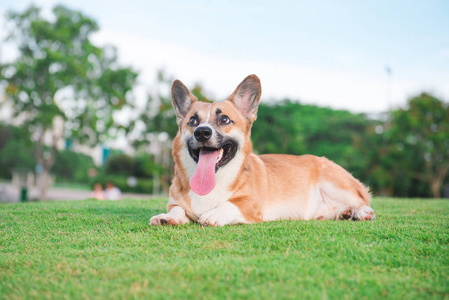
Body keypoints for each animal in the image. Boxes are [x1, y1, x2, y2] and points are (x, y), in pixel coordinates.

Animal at [149, 75, 372, 227]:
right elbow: (177, 209)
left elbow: (231, 204)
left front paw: (213, 214)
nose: (202, 132)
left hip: (334, 182)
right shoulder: (175, 203)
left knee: (362, 200)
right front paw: (167, 218)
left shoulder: (253, 205)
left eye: (224, 119)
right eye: (193, 121)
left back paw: (360, 212)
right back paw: (343, 213)